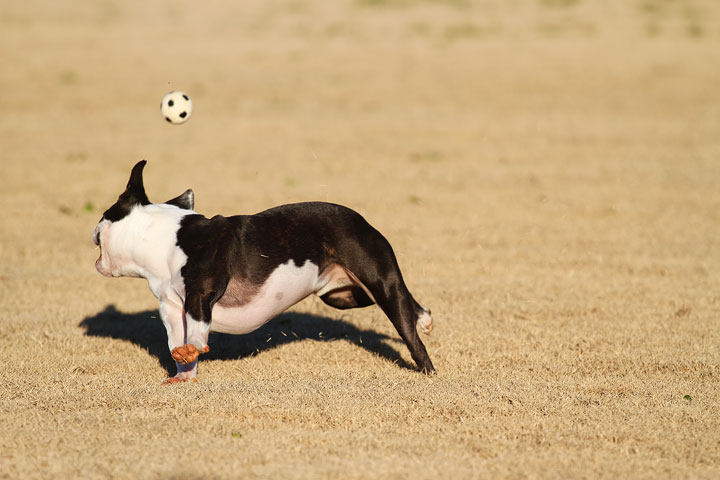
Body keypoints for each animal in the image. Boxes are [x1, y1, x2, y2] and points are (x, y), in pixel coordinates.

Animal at [93, 160, 436, 382]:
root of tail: (362, 221)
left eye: (103, 214)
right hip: (345, 296)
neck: (164, 238)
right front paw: (184, 372)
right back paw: (425, 318)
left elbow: (197, 329)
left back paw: (427, 370)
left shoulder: (200, 296)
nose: (93, 231)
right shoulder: (171, 308)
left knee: (408, 327)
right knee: (408, 302)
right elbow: (176, 341)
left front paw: (195, 350)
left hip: (379, 282)